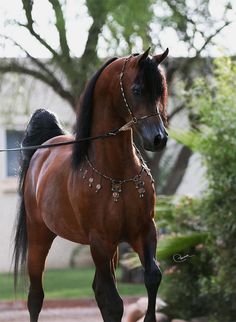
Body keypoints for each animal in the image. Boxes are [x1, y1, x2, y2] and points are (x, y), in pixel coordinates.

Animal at [13, 47, 168, 322]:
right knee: (35, 296)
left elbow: (152, 277)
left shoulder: (144, 231)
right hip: (40, 236)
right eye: (137, 89)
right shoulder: (100, 241)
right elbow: (113, 303)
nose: (158, 139)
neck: (117, 173)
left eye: (161, 89)